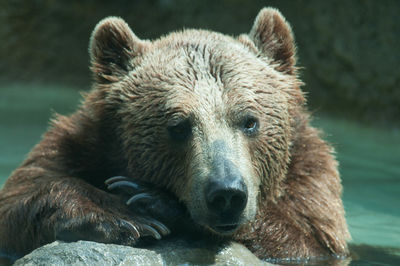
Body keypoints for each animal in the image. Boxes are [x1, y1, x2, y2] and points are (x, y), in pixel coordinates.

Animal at [0, 7, 350, 262]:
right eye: (178, 126)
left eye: (250, 121)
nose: (226, 193)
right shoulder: (75, 147)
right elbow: (17, 202)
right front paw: (118, 214)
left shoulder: (311, 179)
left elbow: (307, 241)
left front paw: (152, 201)